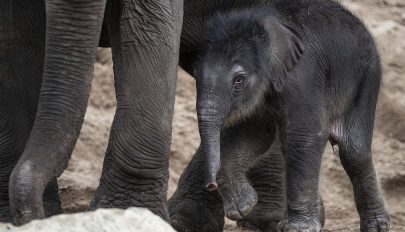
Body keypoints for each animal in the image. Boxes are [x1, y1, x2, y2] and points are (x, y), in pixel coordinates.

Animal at [174, 0, 388, 231]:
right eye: (196, 73)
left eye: (239, 80)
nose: (211, 184)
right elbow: (257, 134)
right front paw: (245, 205)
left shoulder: (303, 75)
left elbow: (304, 134)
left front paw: (298, 228)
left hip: (367, 77)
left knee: (354, 150)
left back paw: (377, 226)